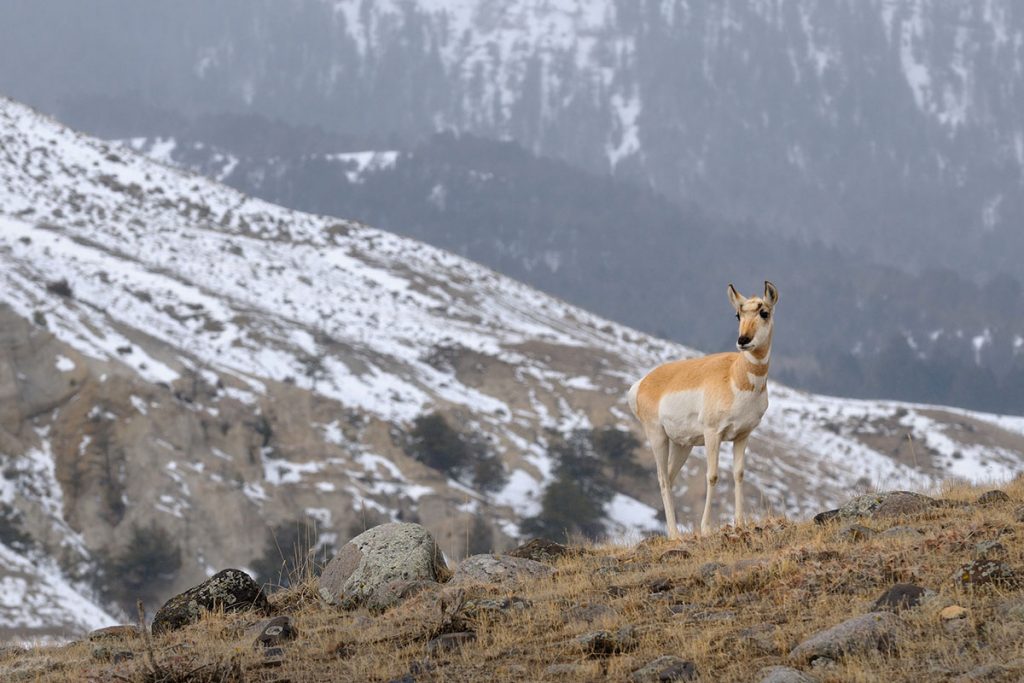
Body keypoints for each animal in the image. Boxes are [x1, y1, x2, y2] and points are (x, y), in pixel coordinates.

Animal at [626, 280, 778, 536]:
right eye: (738, 314)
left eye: (764, 312)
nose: (743, 340)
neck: (736, 376)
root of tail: (644, 382)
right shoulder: (712, 433)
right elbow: (713, 476)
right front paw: (706, 528)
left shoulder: (742, 435)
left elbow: (738, 474)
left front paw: (739, 522)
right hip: (658, 437)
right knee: (663, 479)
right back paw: (675, 535)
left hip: (682, 445)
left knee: (670, 477)